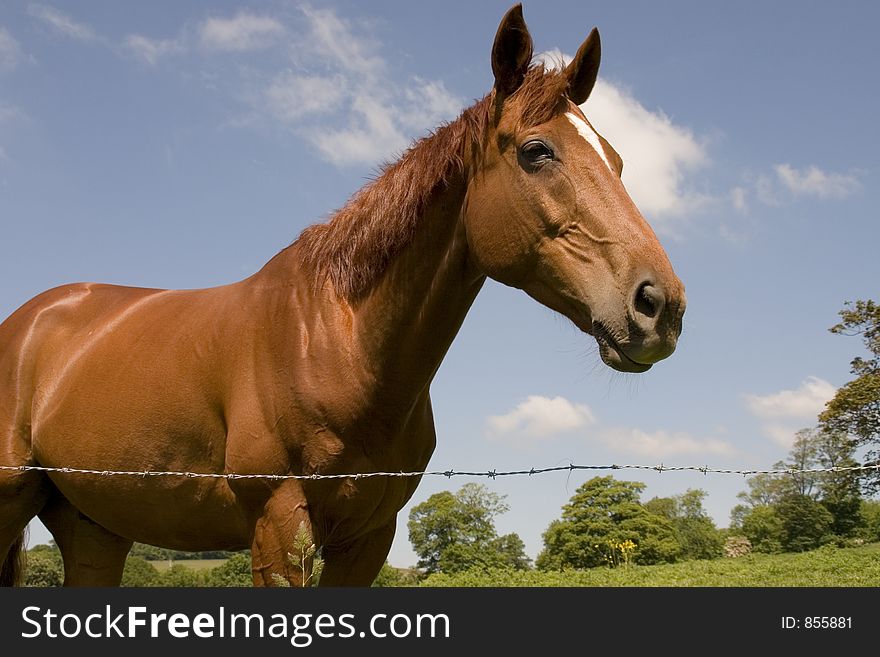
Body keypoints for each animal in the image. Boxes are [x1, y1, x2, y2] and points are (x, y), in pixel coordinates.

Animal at [0, 6, 684, 584]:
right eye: (537, 152)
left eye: (619, 159)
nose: (662, 306)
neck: (337, 342)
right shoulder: (278, 529)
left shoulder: (368, 537)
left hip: (93, 529)